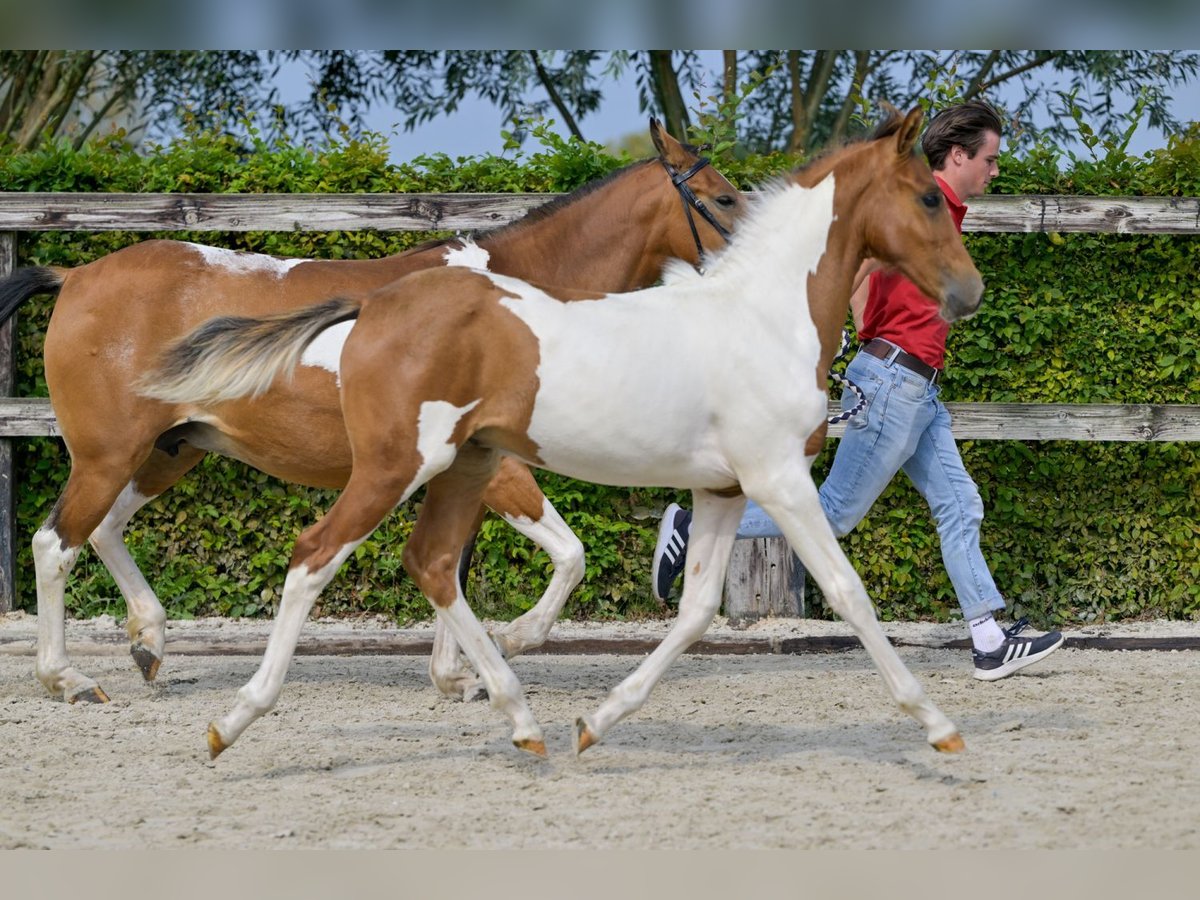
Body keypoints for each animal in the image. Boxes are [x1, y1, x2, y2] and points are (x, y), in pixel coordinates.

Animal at [0, 120, 739, 710]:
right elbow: (568, 555)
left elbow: (453, 564)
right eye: (726, 197)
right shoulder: (499, 469)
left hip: (171, 449)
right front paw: (512, 642)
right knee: (54, 545)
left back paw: (149, 641)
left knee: (103, 530)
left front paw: (454, 676)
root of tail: (76, 277)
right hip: (109, 454)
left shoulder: (464, 470)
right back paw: (66, 678)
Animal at [142, 103, 984, 763]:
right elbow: (847, 592)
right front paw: (938, 725)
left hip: (463, 467)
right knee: (314, 556)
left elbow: (696, 610)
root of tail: (374, 304)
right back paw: (230, 719)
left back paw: (521, 716)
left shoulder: (722, 487)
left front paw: (597, 720)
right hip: (393, 467)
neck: (761, 316)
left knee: (433, 561)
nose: (969, 292)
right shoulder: (777, 478)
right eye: (927, 198)